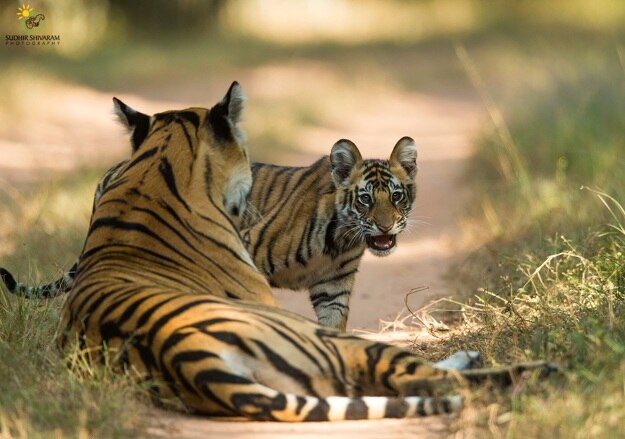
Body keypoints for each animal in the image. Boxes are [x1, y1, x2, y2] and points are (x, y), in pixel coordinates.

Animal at [3, 129, 420, 332]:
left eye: (396, 196)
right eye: (365, 199)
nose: (385, 226)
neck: (344, 239)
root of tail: (114, 168)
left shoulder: (333, 287)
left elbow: (334, 326)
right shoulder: (250, 255)